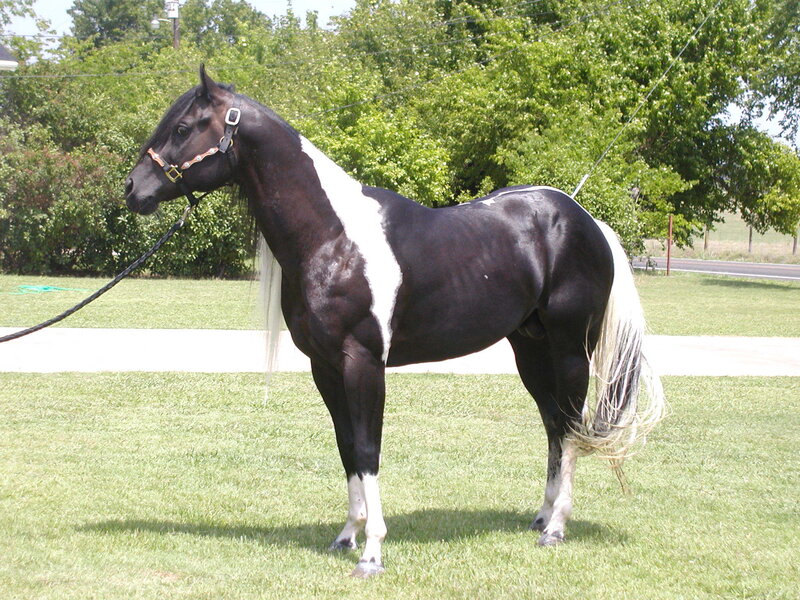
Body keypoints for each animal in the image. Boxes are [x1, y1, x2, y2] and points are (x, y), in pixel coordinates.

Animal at [124, 67, 665, 578]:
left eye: (184, 127)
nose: (133, 189)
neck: (332, 237)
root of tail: (587, 221)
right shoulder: (325, 367)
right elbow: (346, 447)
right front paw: (347, 535)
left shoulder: (363, 362)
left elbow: (368, 449)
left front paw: (372, 552)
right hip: (530, 349)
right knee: (553, 424)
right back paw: (541, 515)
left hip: (570, 348)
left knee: (571, 426)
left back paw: (555, 527)